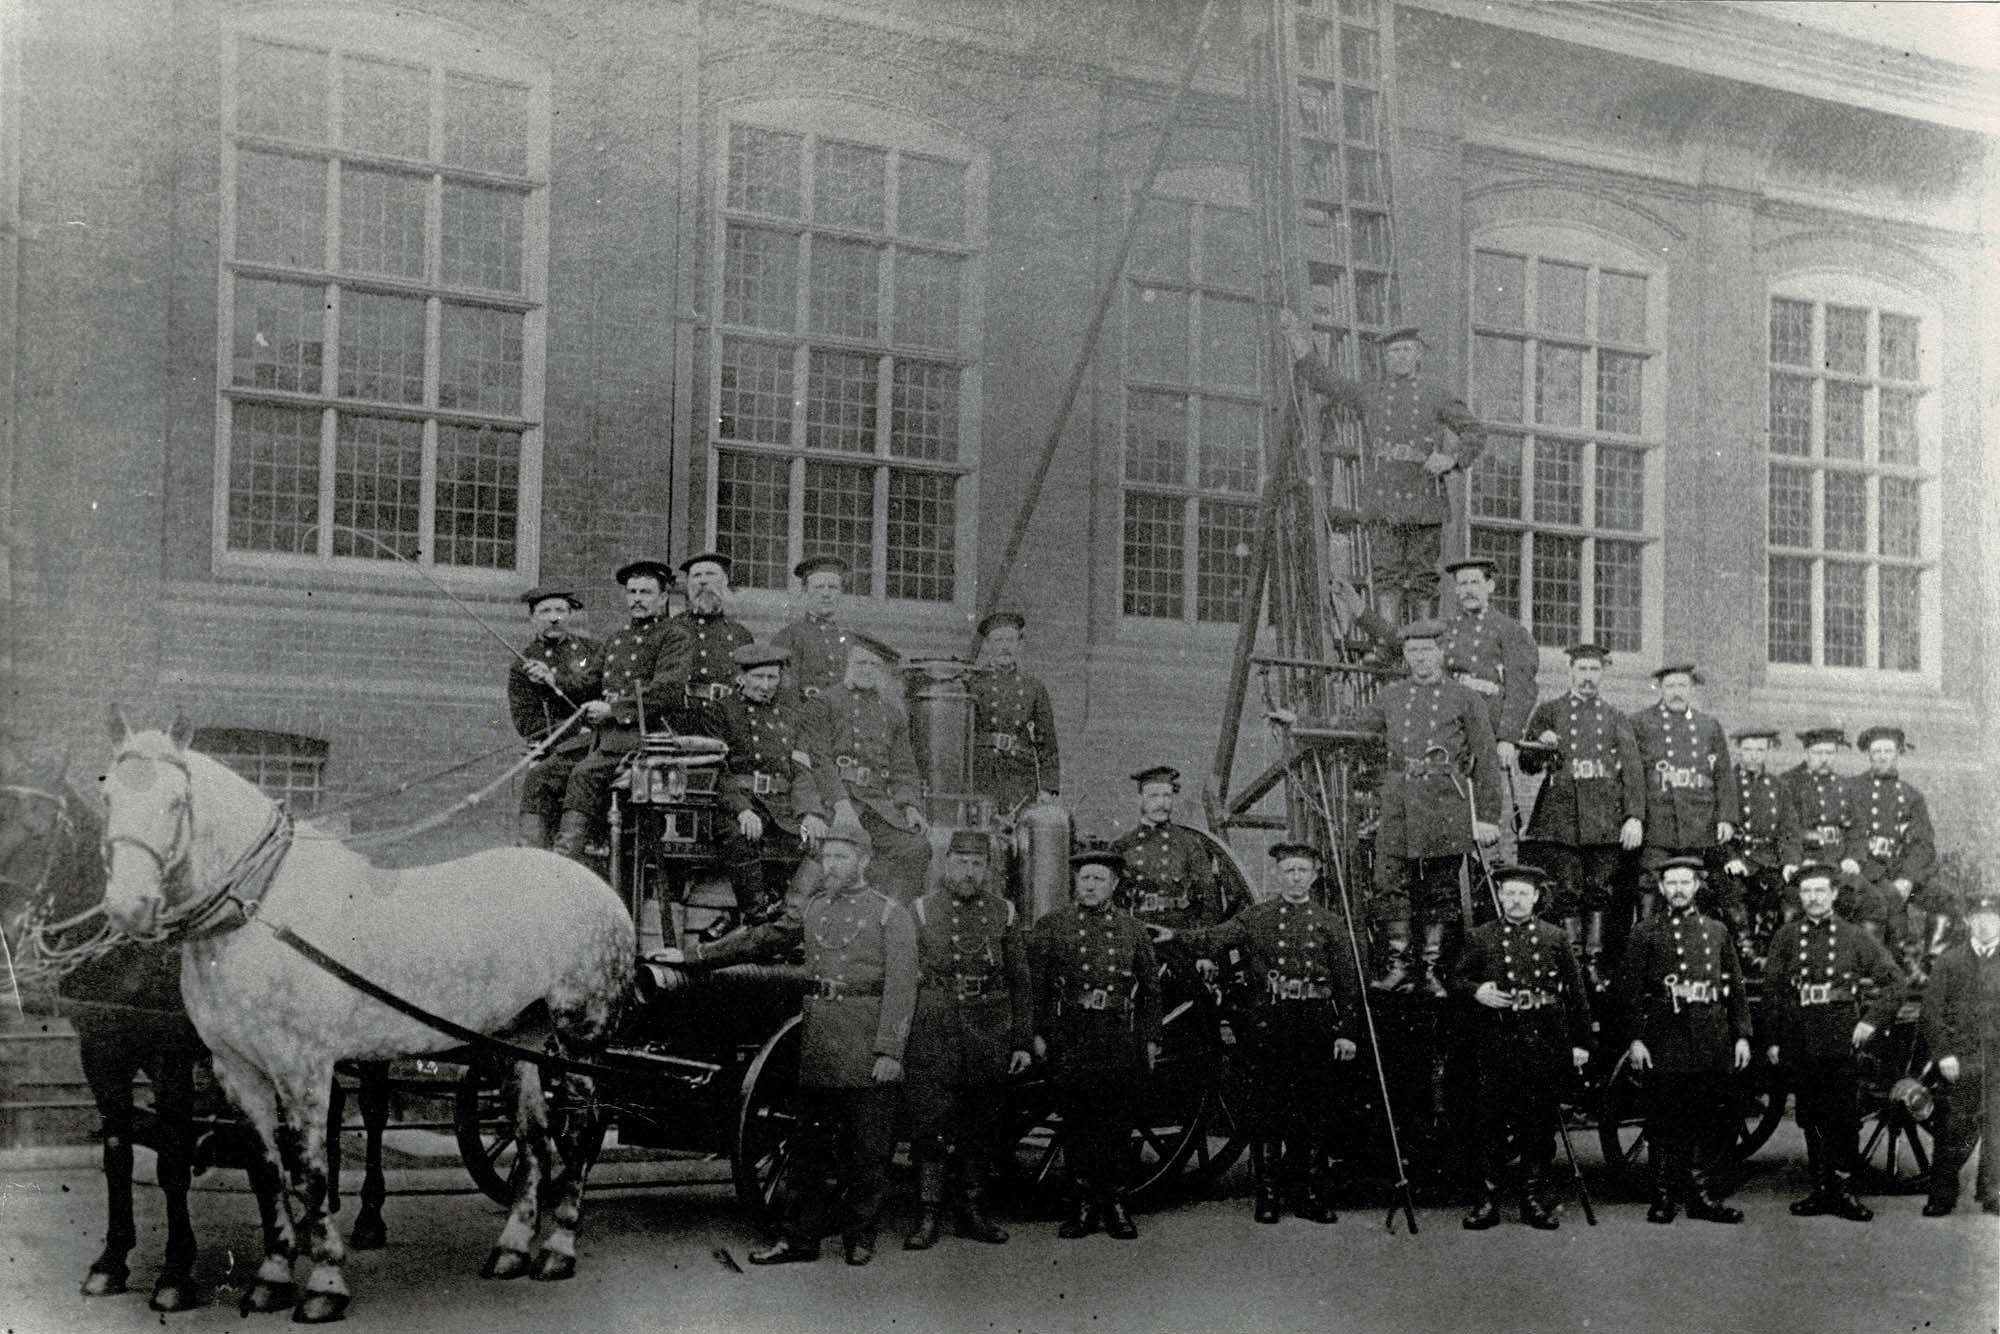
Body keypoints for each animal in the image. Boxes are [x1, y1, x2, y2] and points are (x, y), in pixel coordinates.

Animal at [99, 716, 632, 1320]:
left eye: (176, 801)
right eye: (108, 797)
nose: (127, 908)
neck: (260, 913)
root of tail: (595, 885)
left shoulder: (303, 1069)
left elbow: (309, 1173)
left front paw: (325, 1285)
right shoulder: (237, 1071)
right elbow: (267, 1172)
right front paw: (272, 1278)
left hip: (580, 1039)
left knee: (581, 1133)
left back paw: (560, 1248)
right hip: (519, 1041)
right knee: (535, 1140)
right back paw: (512, 1251)